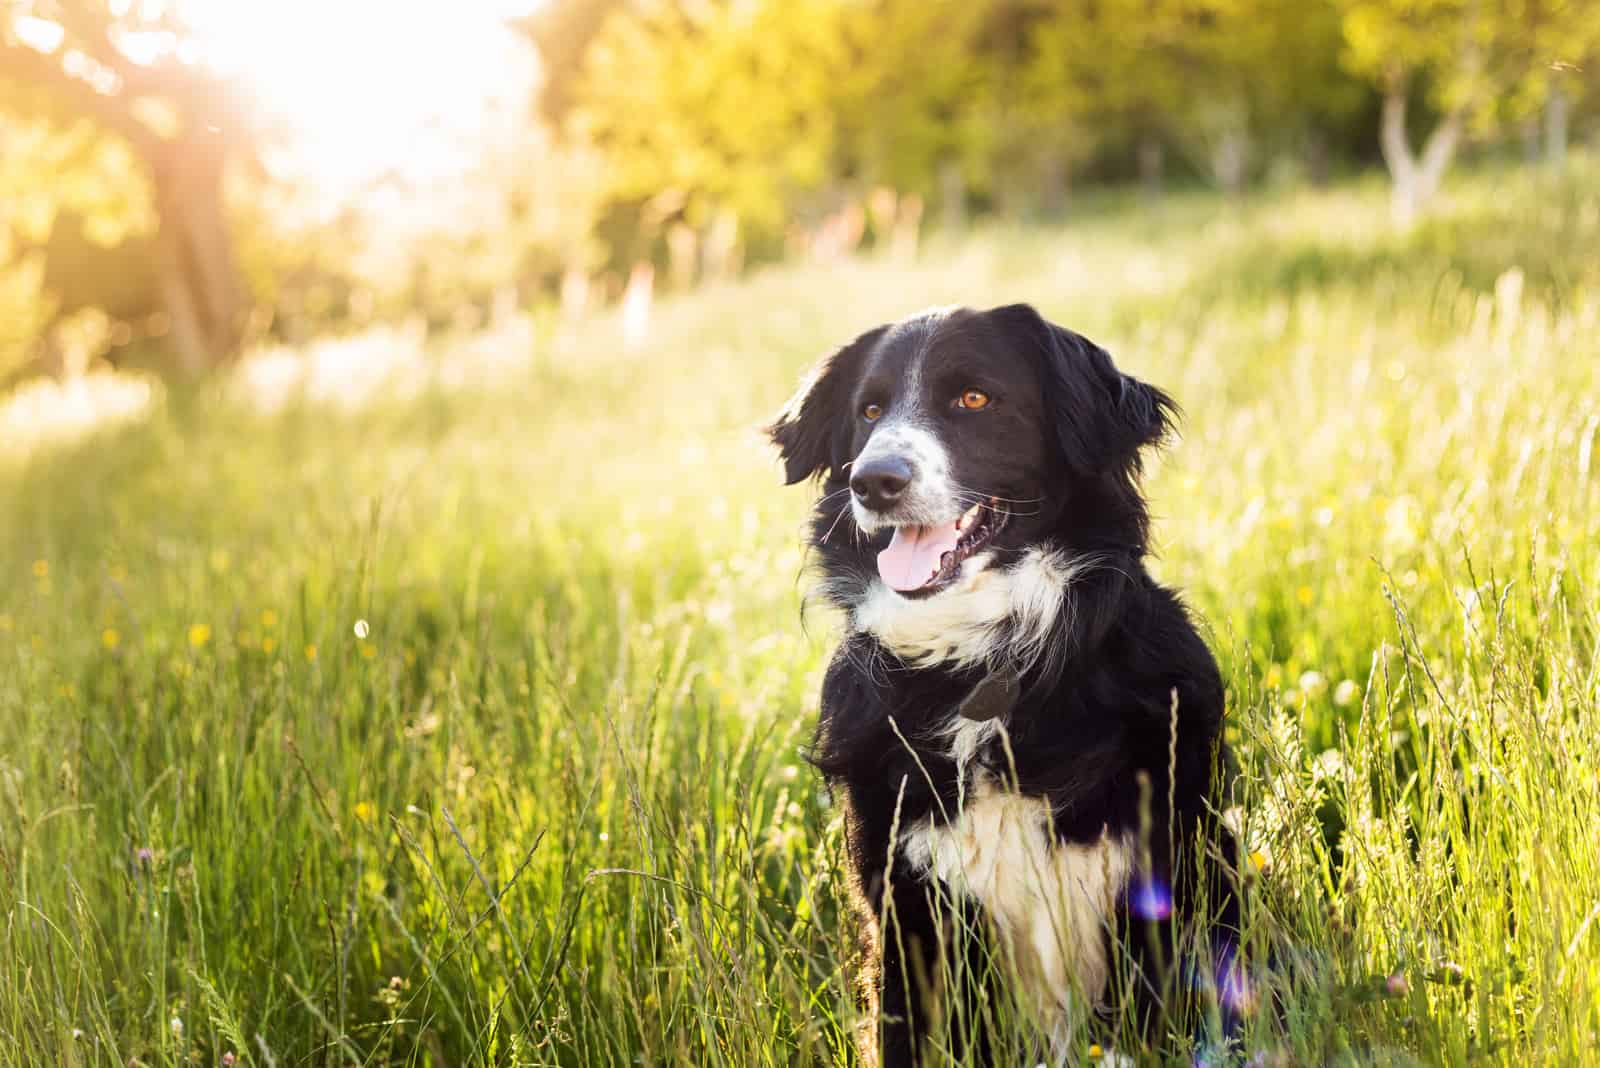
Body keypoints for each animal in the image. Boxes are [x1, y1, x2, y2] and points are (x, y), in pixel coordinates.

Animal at [768, 303, 1241, 1061]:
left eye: (973, 398)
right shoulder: (906, 907)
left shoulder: (1160, 879)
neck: (985, 663)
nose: (874, 481)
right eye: (869, 411)